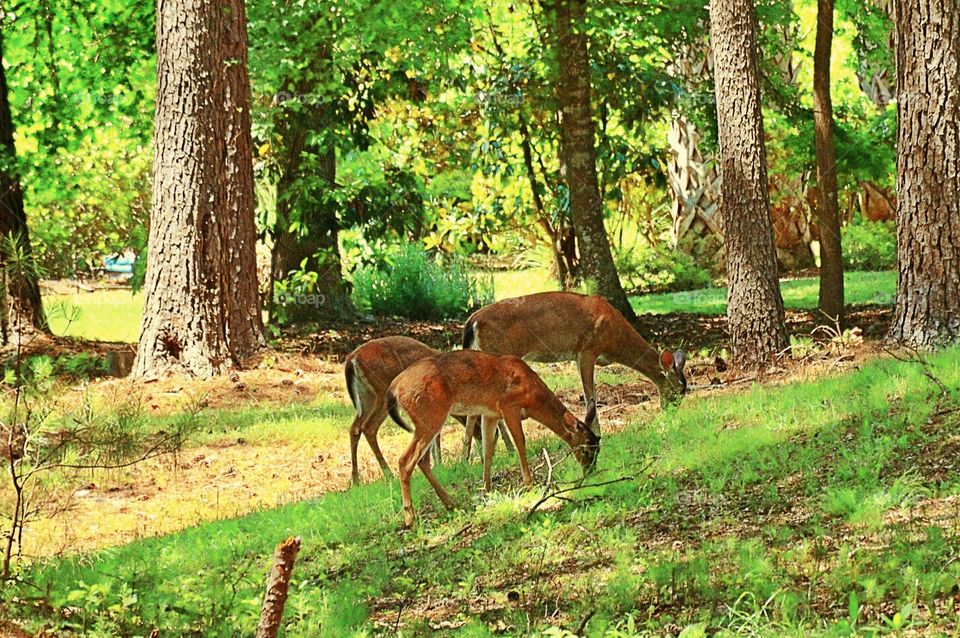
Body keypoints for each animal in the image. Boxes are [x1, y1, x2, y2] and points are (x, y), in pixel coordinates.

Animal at [344, 338, 510, 482]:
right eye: (493, 436)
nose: (487, 457)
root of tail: (352, 358)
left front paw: (438, 464)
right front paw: (440, 464)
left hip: (366, 396)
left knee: (355, 428)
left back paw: (356, 479)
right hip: (380, 393)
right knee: (369, 427)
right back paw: (388, 474)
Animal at [384, 352, 596, 528]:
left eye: (598, 446)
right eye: (586, 447)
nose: (590, 471)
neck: (532, 395)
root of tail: (394, 387)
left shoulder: (490, 413)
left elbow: (488, 449)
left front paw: (486, 488)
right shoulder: (509, 405)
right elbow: (520, 442)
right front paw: (529, 484)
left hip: (427, 419)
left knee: (422, 460)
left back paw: (451, 504)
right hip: (430, 414)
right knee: (405, 460)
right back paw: (410, 519)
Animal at [462, 292, 688, 432]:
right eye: (676, 391)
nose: (670, 412)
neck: (615, 338)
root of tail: (473, 320)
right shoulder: (587, 350)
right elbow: (590, 397)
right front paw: (597, 432)